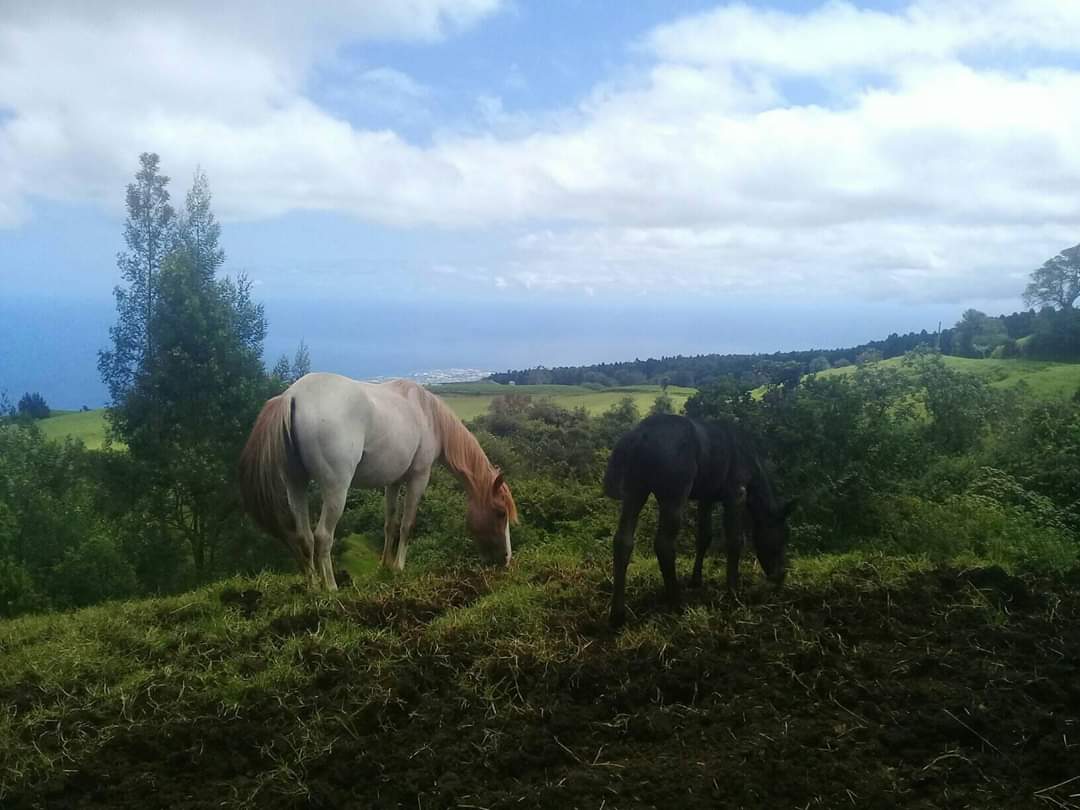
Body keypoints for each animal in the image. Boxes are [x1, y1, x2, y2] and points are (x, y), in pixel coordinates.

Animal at [238, 373, 517, 590]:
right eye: (500, 513)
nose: (506, 559)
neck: (426, 413)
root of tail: (292, 396)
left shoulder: (392, 482)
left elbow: (390, 524)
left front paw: (385, 565)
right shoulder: (419, 477)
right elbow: (407, 525)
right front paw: (399, 567)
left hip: (296, 485)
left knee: (304, 536)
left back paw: (313, 587)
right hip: (336, 490)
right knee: (323, 536)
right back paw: (331, 588)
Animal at [602, 413, 794, 628]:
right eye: (783, 537)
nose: (780, 576)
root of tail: (637, 437)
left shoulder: (706, 496)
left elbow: (704, 537)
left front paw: (696, 580)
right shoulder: (735, 493)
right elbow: (735, 541)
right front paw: (733, 592)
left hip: (635, 490)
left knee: (623, 540)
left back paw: (617, 615)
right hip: (674, 495)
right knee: (663, 544)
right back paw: (677, 603)